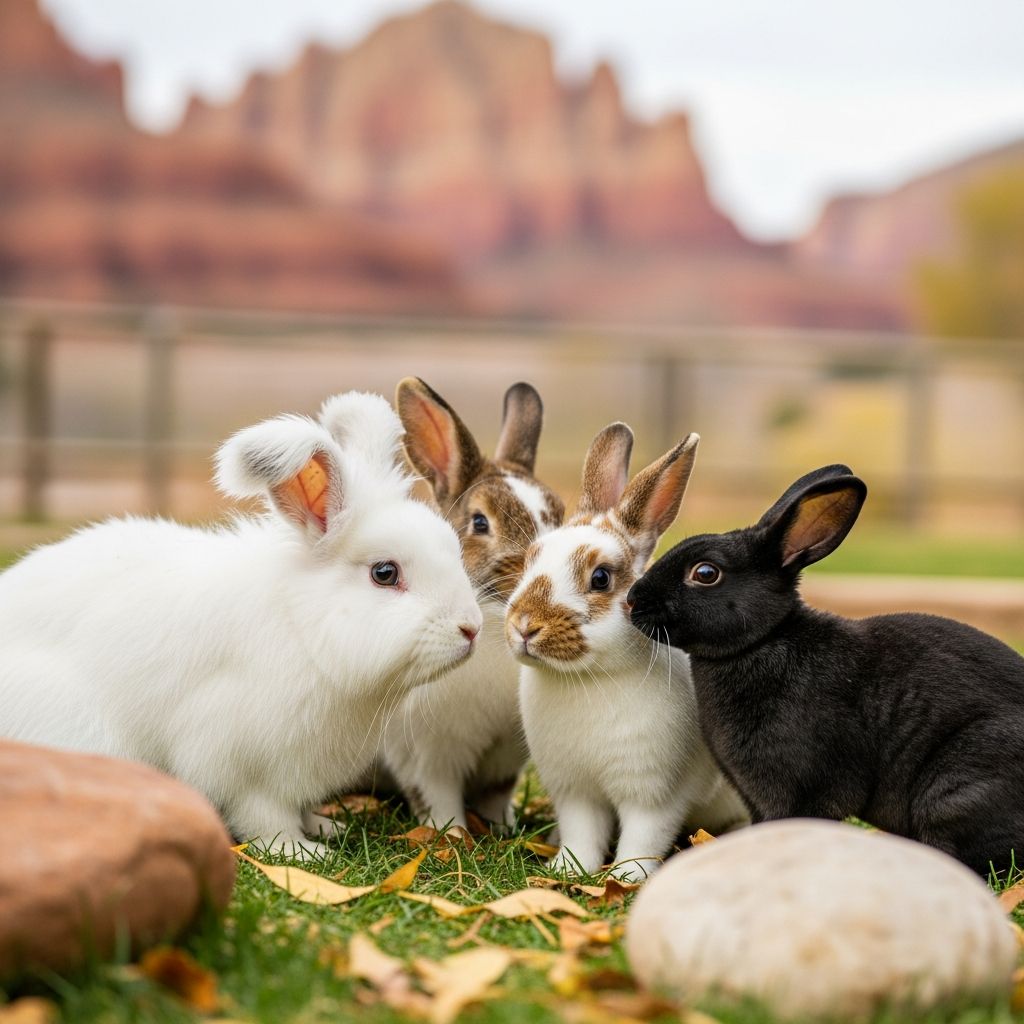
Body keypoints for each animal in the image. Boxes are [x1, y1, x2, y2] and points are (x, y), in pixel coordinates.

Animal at [0, 392, 482, 859]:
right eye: (385, 573)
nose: (471, 628)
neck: (302, 629)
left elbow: (299, 808)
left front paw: (326, 827)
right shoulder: (242, 766)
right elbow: (265, 817)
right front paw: (303, 853)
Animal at [377, 377, 565, 832]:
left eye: (560, 515)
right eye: (480, 523)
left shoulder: (504, 761)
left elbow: (497, 797)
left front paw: (504, 829)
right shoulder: (427, 758)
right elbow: (438, 800)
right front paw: (451, 835)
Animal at [505, 423, 748, 880]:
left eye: (600, 578)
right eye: (531, 560)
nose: (525, 625)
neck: (588, 678)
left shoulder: (654, 795)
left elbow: (643, 838)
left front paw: (626, 877)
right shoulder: (575, 793)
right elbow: (582, 833)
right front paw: (568, 869)